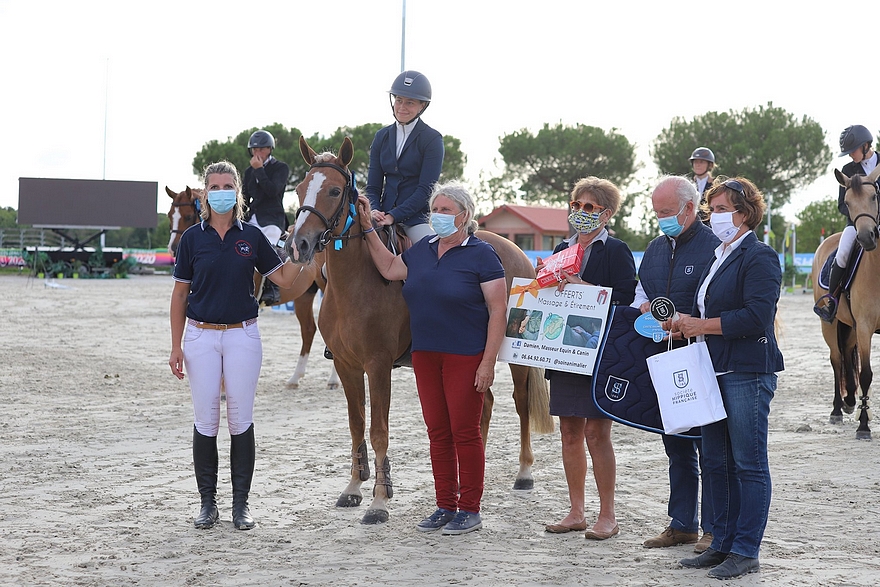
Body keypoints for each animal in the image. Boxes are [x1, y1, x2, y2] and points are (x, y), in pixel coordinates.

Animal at [164, 186, 336, 390]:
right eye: (169, 215)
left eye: (188, 216)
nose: (174, 249)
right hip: (304, 295)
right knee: (308, 329)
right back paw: (294, 378)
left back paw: (333, 380)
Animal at [288, 137, 552, 524]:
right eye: (299, 189)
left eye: (335, 191)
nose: (298, 245)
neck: (356, 279)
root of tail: (516, 250)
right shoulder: (346, 366)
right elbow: (356, 424)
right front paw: (353, 488)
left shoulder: (378, 365)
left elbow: (378, 430)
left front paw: (379, 501)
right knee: (484, 405)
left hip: (515, 358)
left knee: (520, 403)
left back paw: (524, 472)